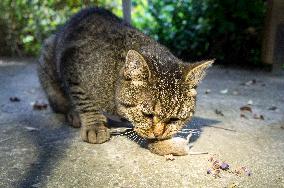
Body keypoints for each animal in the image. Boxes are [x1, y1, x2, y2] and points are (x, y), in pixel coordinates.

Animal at [37, 7, 213, 153]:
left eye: (175, 119)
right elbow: (84, 100)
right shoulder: (71, 65)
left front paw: (165, 144)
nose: (158, 133)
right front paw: (94, 124)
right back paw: (73, 113)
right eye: (147, 114)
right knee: (60, 102)